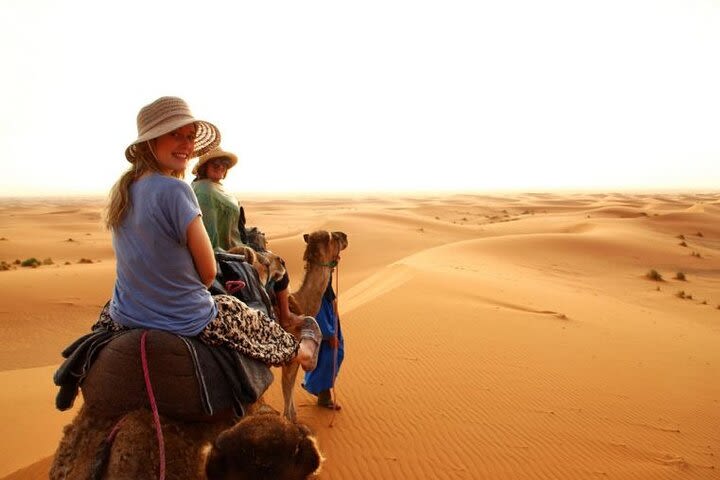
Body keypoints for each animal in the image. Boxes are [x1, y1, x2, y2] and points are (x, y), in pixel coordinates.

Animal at [282, 231, 348, 422]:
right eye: (334, 237)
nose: (345, 235)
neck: (300, 305)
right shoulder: (292, 356)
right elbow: (287, 386)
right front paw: (290, 420)